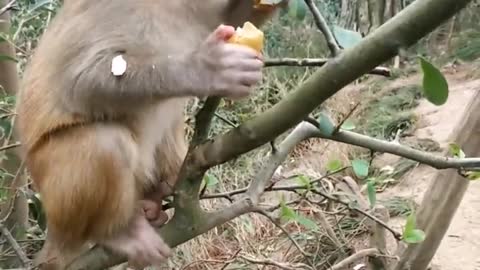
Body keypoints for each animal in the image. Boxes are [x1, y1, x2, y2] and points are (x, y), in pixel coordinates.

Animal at [14, 0, 288, 270]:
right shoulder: (114, 8)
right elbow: (81, 82)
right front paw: (206, 68)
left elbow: (230, 21)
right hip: (59, 197)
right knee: (106, 142)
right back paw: (119, 234)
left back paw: (157, 196)